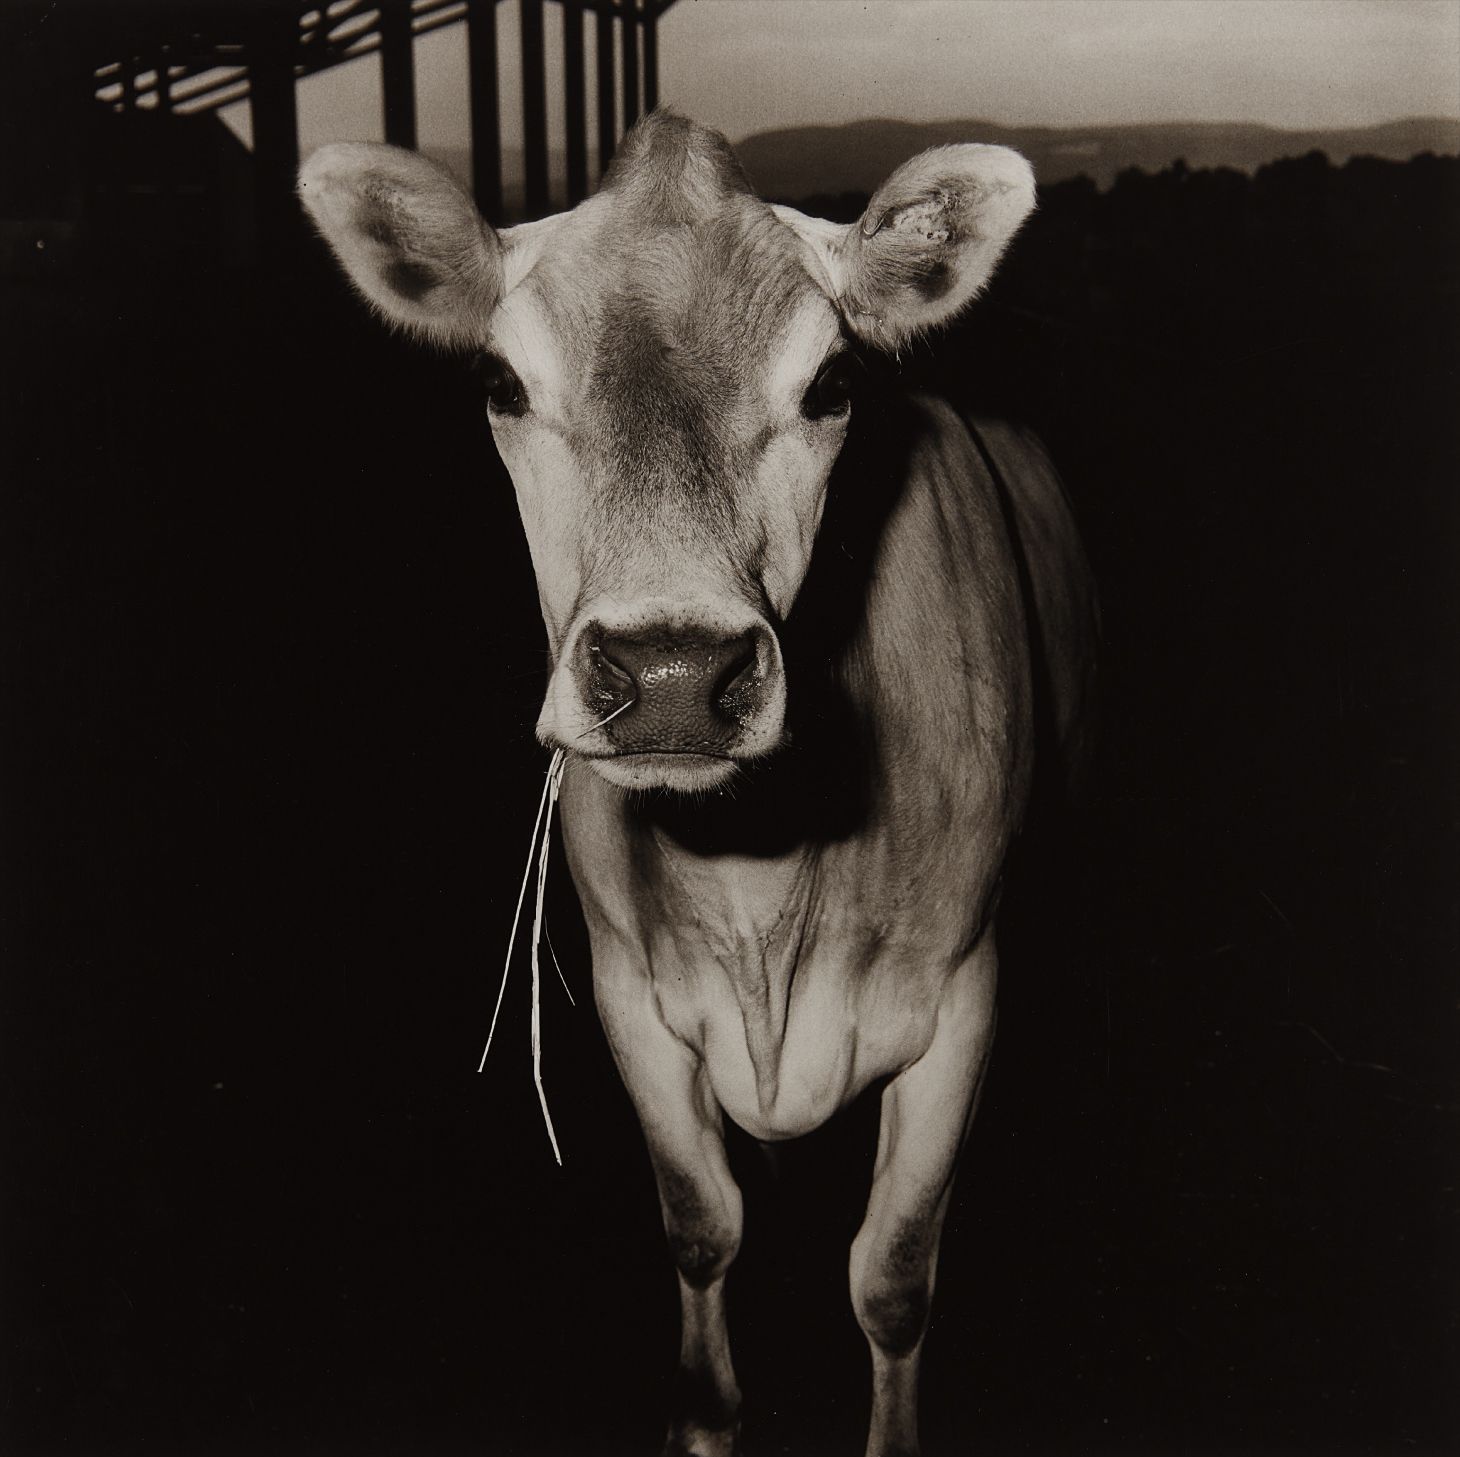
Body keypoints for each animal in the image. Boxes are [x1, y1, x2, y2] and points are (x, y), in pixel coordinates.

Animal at [299, 110, 1097, 1457]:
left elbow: (891, 1277)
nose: (672, 672)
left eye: (831, 386)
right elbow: (700, 1221)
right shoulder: (632, 992)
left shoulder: (963, 998)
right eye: (500, 384)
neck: (760, 884)